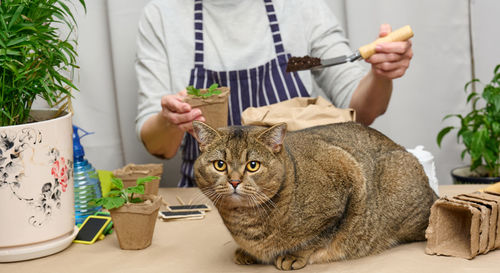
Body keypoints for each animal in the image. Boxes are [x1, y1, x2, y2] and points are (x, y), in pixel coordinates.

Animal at [192, 121, 438, 270]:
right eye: (220, 164)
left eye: (253, 165)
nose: (234, 181)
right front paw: (248, 252)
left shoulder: (347, 176)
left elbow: (318, 237)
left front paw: (294, 255)